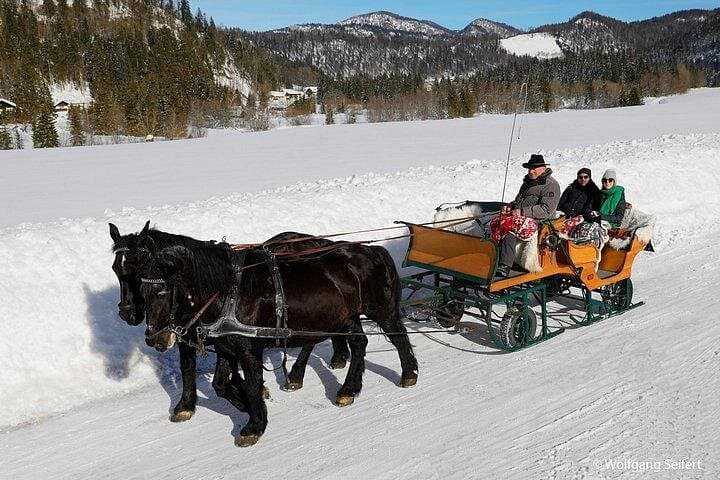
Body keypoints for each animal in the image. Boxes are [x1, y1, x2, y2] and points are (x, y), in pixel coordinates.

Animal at [109, 221, 351, 422]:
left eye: (138, 268)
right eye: (115, 269)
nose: (127, 314)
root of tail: (320, 242)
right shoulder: (188, 336)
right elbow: (188, 368)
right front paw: (185, 405)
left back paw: (298, 374)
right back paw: (336, 356)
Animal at [140, 237, 418, 447]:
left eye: (163, 291)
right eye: (142, 291)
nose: (154, 339)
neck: (229, 292)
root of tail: (374, 250)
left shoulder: (248, 348)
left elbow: (252, 385)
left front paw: (254, 424)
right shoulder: (226, 346)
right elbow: (220, 384)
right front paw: (246, 405)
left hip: (380, 310)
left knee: (399, 337)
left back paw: (408, 374)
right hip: (344, 317)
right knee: (359, 344)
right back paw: (348, 389)